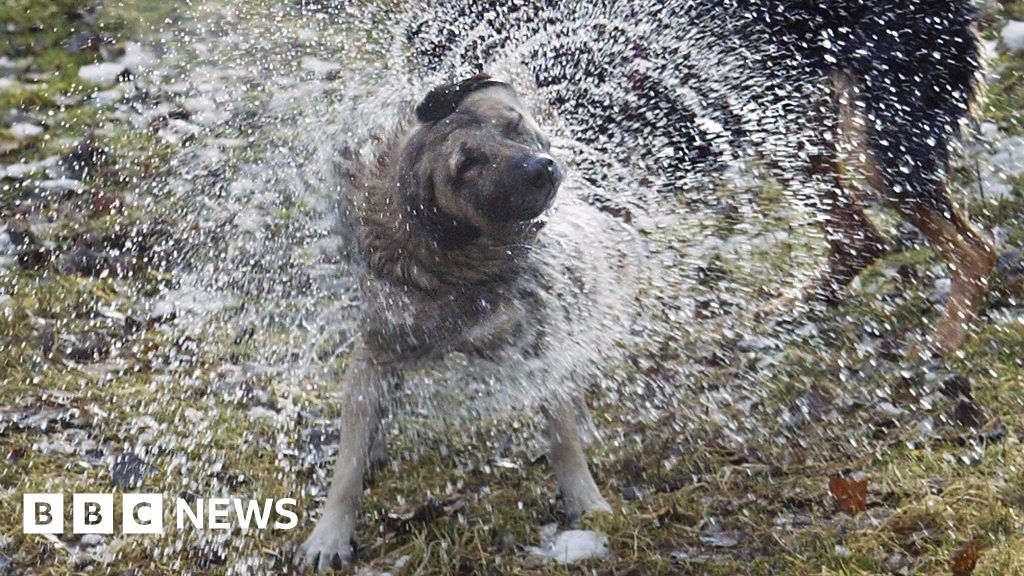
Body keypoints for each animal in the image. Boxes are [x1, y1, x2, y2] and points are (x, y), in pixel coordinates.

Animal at [292, 73, 634, 565]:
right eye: (468, 165)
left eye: (513, 125)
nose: (541, 168)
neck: (458, 259)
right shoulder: (376, 350)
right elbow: (349, 464)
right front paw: (330, 532)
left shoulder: (539, 339)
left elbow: (562, 434)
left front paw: (585, 500)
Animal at [409, 2, 999, 356]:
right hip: (781, 114)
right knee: (860, 238)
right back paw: (794, 309)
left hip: (877, 140)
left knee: (974, 250)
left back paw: (941, 343)